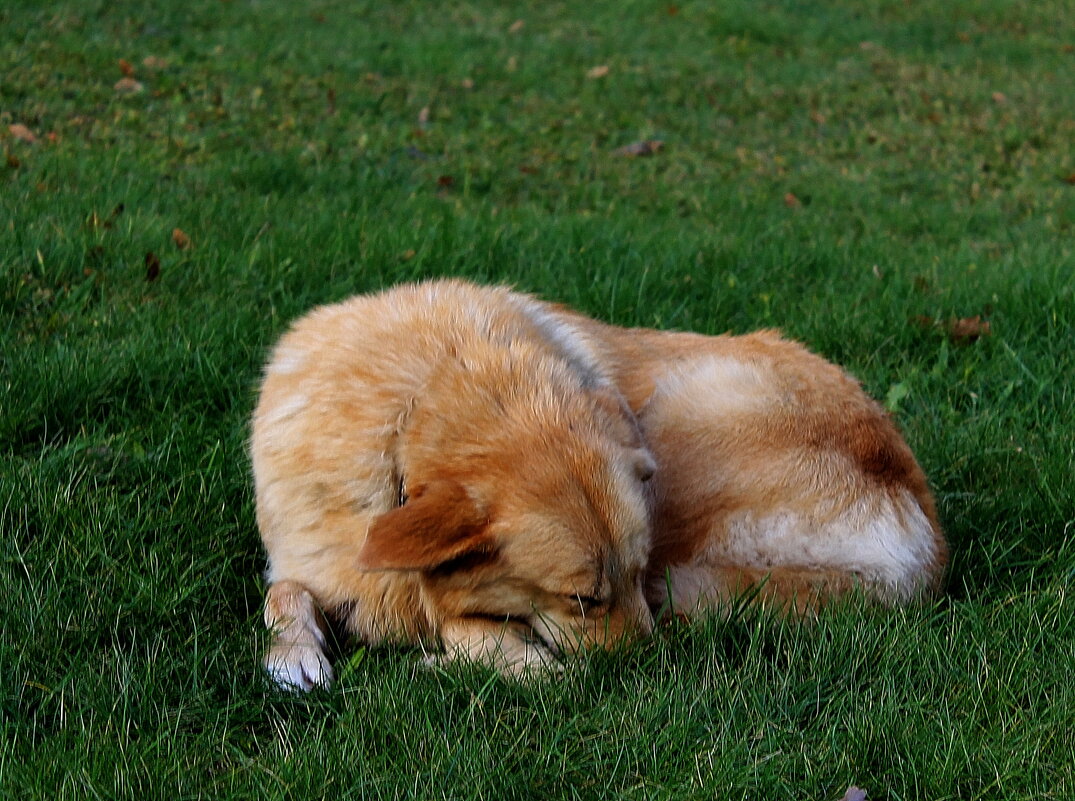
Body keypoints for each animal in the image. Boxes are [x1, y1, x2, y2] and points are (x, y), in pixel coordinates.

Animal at [250, 279, 653, 688]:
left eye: (640, 571)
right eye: (582, 600)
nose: (647, 661)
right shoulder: (316, 564)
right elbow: (284, 591)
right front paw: (292, 653)